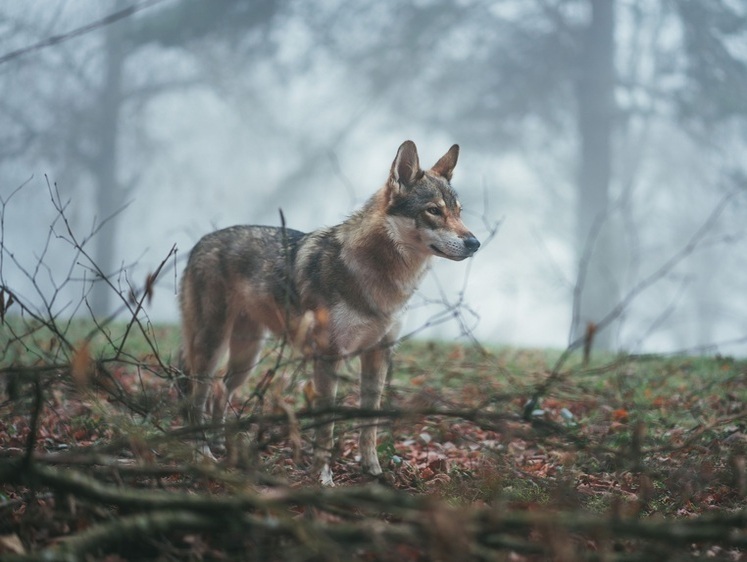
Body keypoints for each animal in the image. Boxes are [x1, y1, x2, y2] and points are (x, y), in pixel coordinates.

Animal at [183, 139, 486, 482]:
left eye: (458, 212)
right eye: (433, 211)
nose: (475, 243)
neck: (379, 276)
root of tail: (199, 243)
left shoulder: (379, 354)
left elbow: (369, 422)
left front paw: (373, 470)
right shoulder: (328, 357)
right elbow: (326, 429)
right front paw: (323, 478)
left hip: (248, 356)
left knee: (220, 391)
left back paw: (219, 445)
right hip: (213, 346)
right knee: (196, 399)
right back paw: (203, 454)